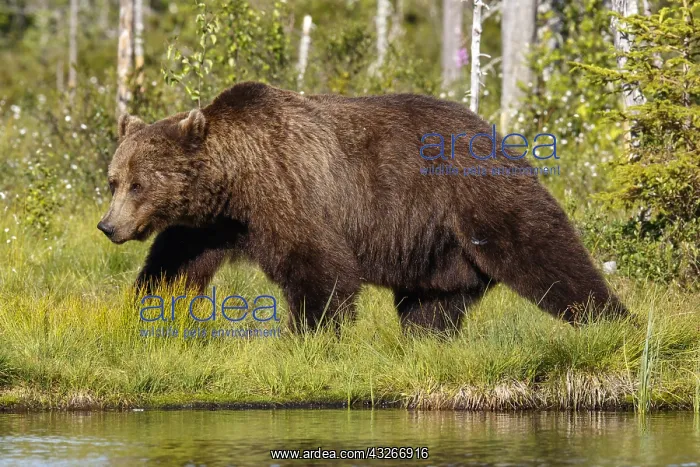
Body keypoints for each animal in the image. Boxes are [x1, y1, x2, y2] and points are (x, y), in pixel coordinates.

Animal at [98, 81, 627, 333]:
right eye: (114, 180)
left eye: (138, 184)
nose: (108, 226)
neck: (236, 182)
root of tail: (498, 135)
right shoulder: (212, 225)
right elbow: (173, 267)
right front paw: (141, 310)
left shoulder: (291, 196)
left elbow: (320, 269)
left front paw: (309, 335)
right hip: (436, 250)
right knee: (431, 306)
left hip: (478, 198)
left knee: (544, 251)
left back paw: (607, 317)